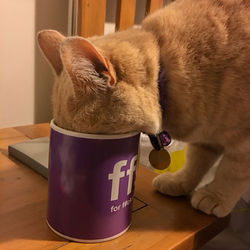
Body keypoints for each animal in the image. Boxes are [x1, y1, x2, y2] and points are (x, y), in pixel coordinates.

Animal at [37, 0, 250, 217]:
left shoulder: (242, 143)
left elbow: (231, 171)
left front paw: (215, 195)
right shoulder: (206, 137)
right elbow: (195, 161)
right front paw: (179, 182)